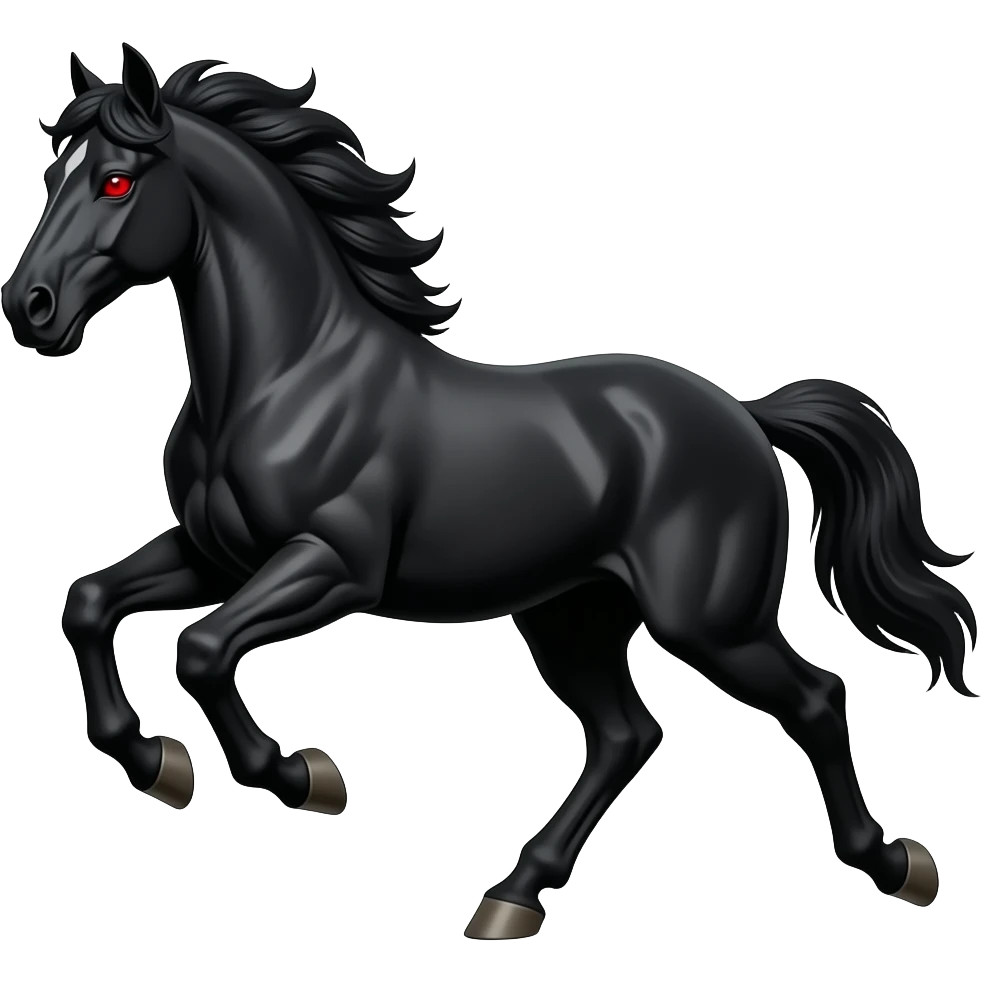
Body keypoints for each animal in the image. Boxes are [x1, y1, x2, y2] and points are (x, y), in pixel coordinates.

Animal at [2, 44, 976, 940]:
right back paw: (512, 896)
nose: (29, 308)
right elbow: (89, 603)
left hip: (710, 620)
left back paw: (898, 864)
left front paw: (303, 776)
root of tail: (744, 412)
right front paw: (157, 761)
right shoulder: (216, 555)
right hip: (571, 614)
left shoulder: (332, 566)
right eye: (52, 174)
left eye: (118, 180)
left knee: (812, 698)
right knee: (626, 734)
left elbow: (201, 650)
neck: (284, 377)